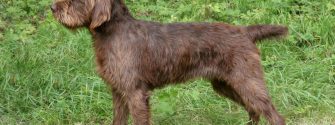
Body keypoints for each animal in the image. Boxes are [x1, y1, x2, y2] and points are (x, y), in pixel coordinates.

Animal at [51, 0, 288, 124]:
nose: (53, 7)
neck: (113, 32)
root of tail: (245, 31)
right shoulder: (118, 91)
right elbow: (118, 120)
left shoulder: (135, 93)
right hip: (226, 85)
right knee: (253, 109)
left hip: (247, 82)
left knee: (273, 114)